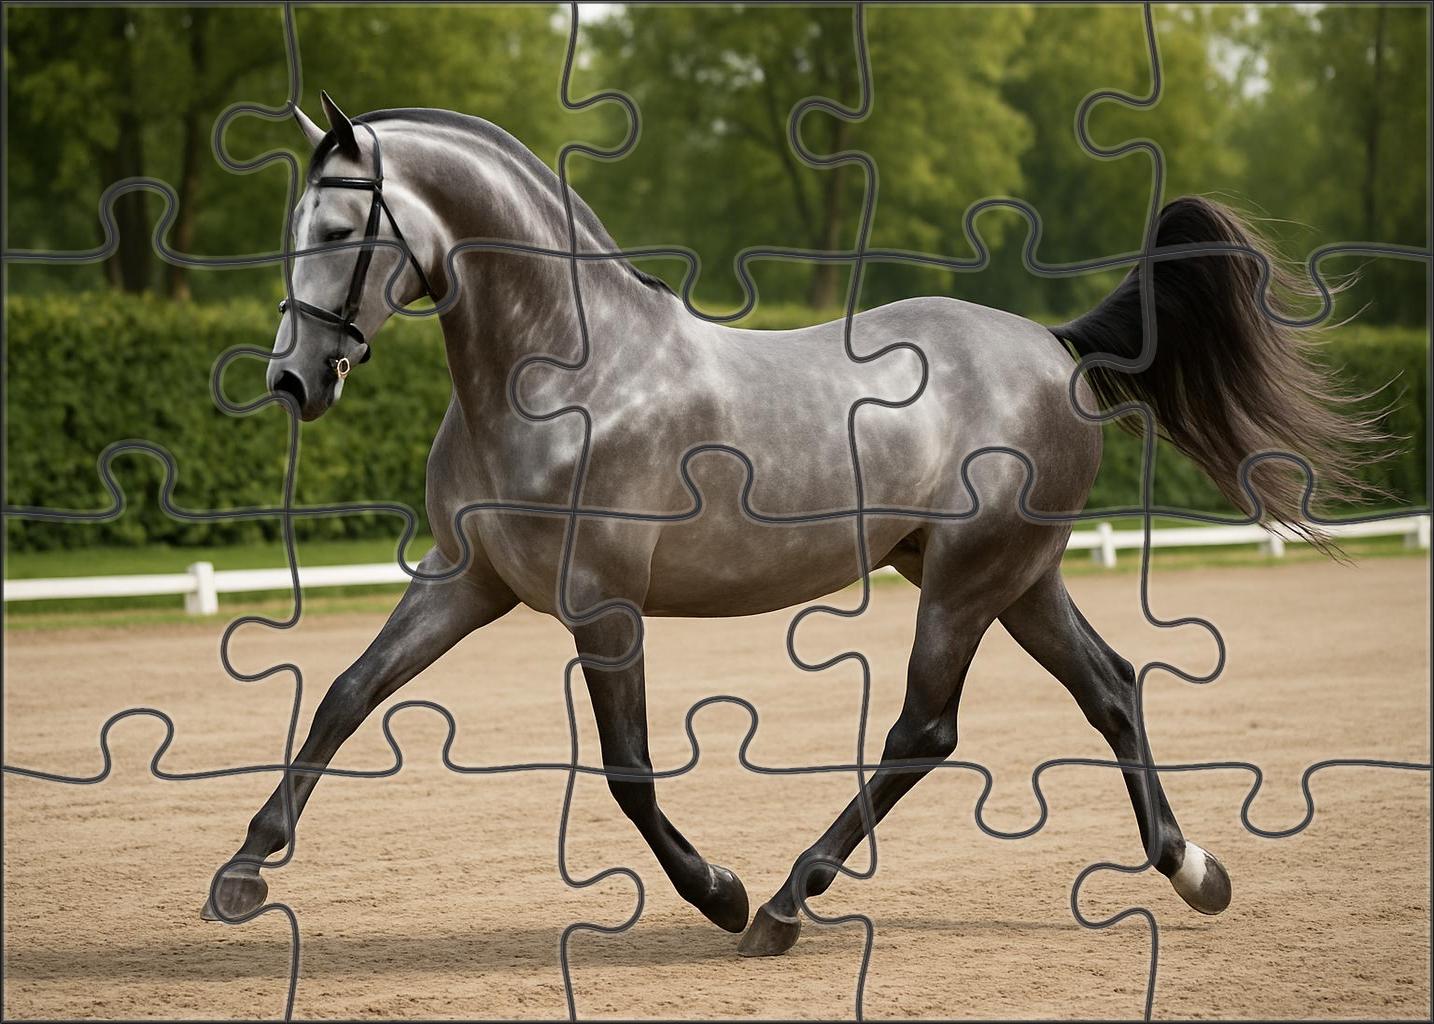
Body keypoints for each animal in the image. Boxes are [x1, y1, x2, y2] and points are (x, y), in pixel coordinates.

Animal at [204, 92, 1378, 957]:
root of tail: (1051, 346)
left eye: (342, 229)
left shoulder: (603, 604)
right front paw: (243, 871)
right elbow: (346, 695)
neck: (566, 375)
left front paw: (717, 892)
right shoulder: (465, 579)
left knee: (925, 732)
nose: (293, 378)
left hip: (967, 582)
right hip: (1019, 578)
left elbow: (629, 770)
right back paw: (1195, 870)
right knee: (1114, 689)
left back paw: (781, 904)